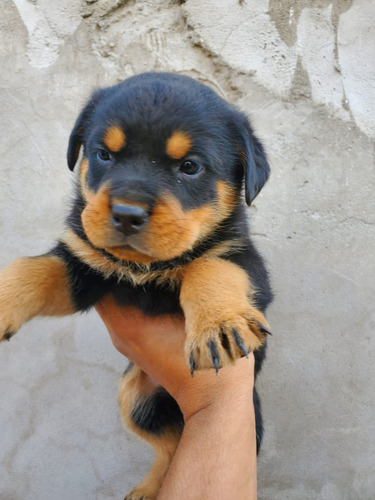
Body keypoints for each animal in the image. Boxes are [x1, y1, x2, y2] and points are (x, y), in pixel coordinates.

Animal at [0, 72, 272, 498]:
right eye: (103, 155)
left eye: (190, 167)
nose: (127, 214)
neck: (146, 267)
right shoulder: (82, 266)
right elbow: (32, 269)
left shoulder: (244, 258)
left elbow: (210, 267)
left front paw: (218, 326)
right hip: (135, 398)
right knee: (172, 445)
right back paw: (148, 489)